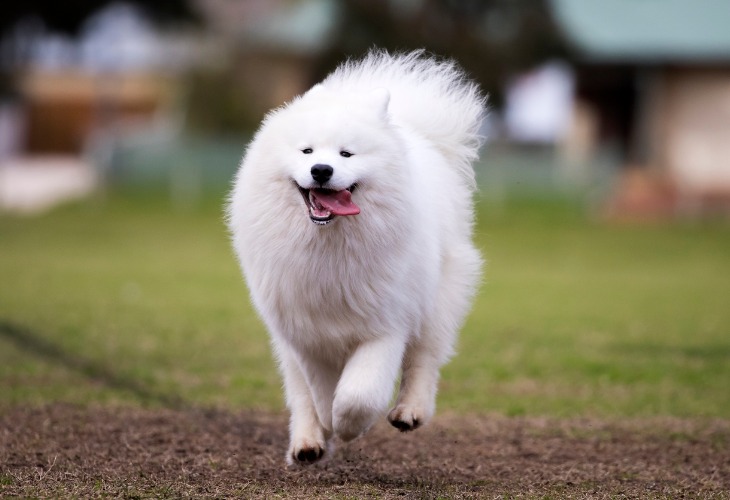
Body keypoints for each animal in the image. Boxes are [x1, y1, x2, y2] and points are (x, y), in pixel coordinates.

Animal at [228, 50, 484, 464]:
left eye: (347, 153)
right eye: (307, 151)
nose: (321, 170)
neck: (330, 246)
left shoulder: (385, 327)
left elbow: (357, 394)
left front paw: (347, 426)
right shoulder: (305, 334)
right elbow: (319, 391)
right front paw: (326, 426)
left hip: (437, 303)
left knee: (424, 359)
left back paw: (409, 411)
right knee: (298, 393)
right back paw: (307, 444)